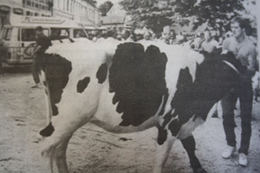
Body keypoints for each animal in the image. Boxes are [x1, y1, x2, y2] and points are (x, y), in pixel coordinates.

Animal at [37, 39, 244, 173]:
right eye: (224, 72)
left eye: (236, 64)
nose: (243, 83)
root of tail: (51, 48)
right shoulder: (170, 122)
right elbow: (161, 160)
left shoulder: (182, 120)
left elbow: (190, 144)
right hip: (67, 119)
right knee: (46, 148)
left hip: (66, 120)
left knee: (59, 149)